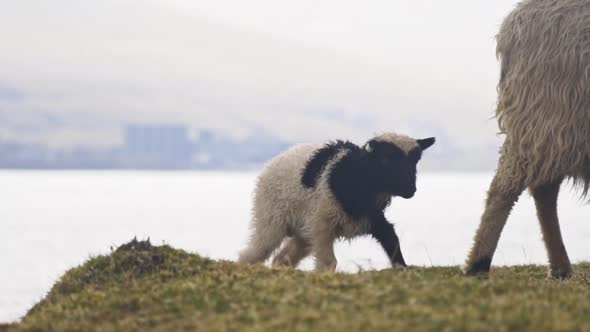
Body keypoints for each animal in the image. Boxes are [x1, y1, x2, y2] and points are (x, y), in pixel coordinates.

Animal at [238, 133, 438, 272]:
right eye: (385, 160)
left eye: (415, 161)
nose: (410, 190)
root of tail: (275, 160)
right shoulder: (322, 224)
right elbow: (328, 262)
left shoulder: (373, 219)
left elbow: (392, 239)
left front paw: (402, 269)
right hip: (272, 219)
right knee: (254, 251)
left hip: (303, 231)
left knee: (282, 258)